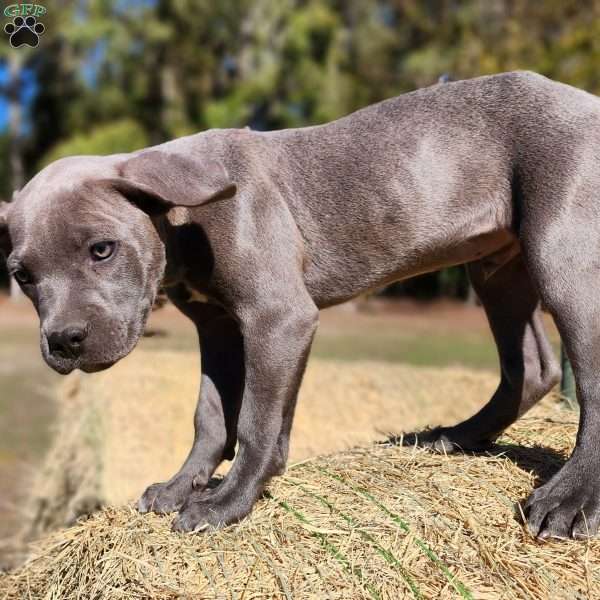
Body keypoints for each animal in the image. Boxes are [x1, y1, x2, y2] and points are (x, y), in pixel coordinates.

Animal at [2, 70, 596, 540]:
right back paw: (454, 437)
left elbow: (256, 421)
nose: (64, 341)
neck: (183, 219)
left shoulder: (276, 317)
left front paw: (226, 502)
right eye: (23, 276)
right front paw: (181, 486)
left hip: (562, 254)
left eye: (102, 249)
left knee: (586, 379)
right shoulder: (218, 326)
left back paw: (568, 499)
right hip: (497, 267)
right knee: (533, 368)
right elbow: (210, 416)